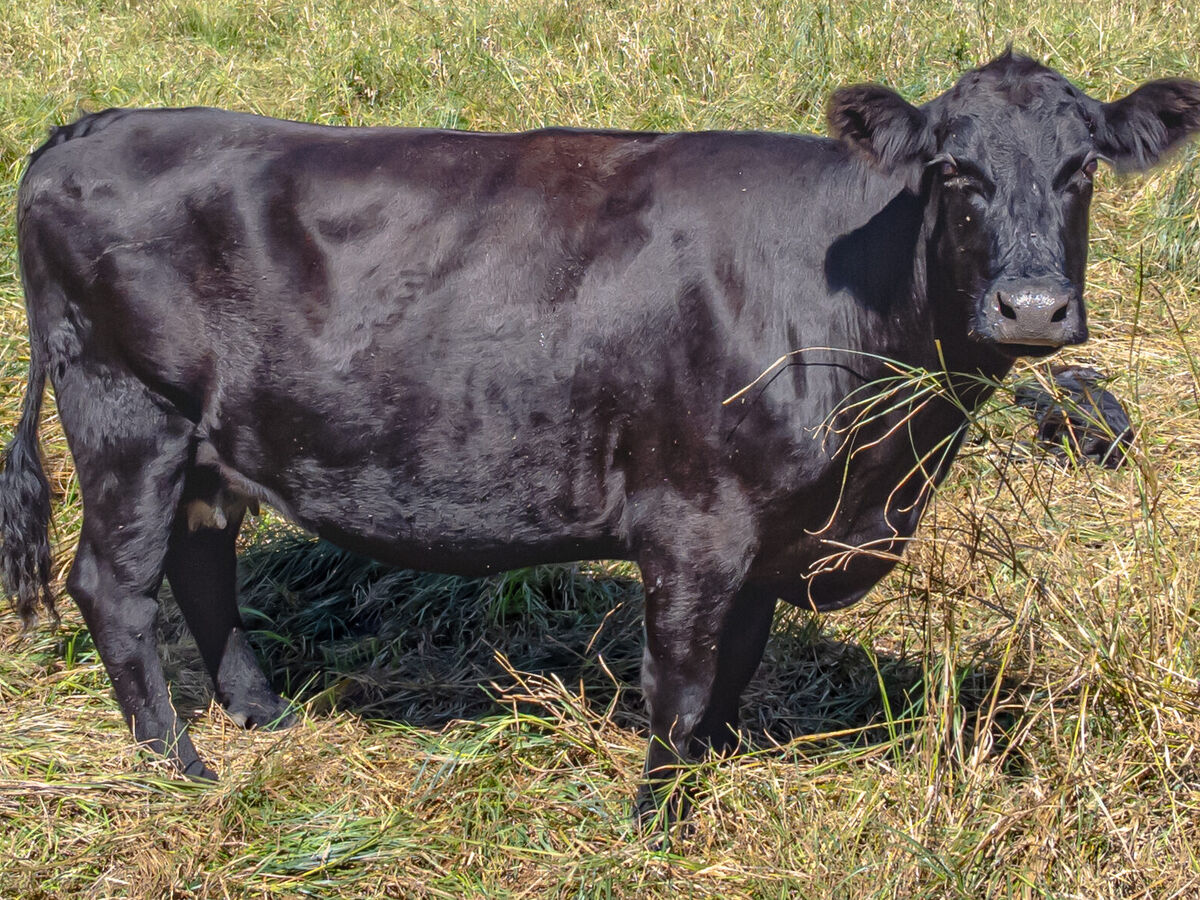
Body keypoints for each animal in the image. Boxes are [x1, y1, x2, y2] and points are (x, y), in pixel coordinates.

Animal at [2, 51, 1198, 823]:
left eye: (1083, 169)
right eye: (954, 171)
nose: (1033, 308)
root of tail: (91, 126)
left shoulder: (771, 532)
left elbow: (735, 667)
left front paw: (714, 771)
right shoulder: (694, 519)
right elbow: (681, 675)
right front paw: (658, 821)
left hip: (214, 435)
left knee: (202, 562)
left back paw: (262, 715)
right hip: (124, 413)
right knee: (114, 584)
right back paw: (180, 764)